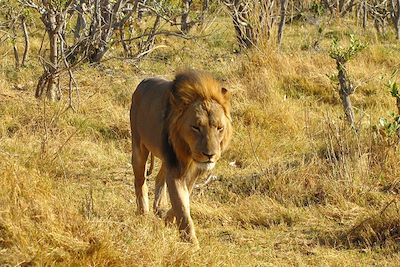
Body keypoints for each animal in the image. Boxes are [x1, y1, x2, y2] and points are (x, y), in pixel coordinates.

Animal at [130, 69, 233, 245]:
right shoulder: (176, 169)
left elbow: (183, 200)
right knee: (140, 181)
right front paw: (192, 244)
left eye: (219, 128)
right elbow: (182, 207)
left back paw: (160, 206)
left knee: (159, 177)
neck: (189, 154)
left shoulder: (192, 171)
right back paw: (143, 212)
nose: (210, 155)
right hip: (138, 147)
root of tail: (142, 83)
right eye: (196, 127)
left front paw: (167, 218)